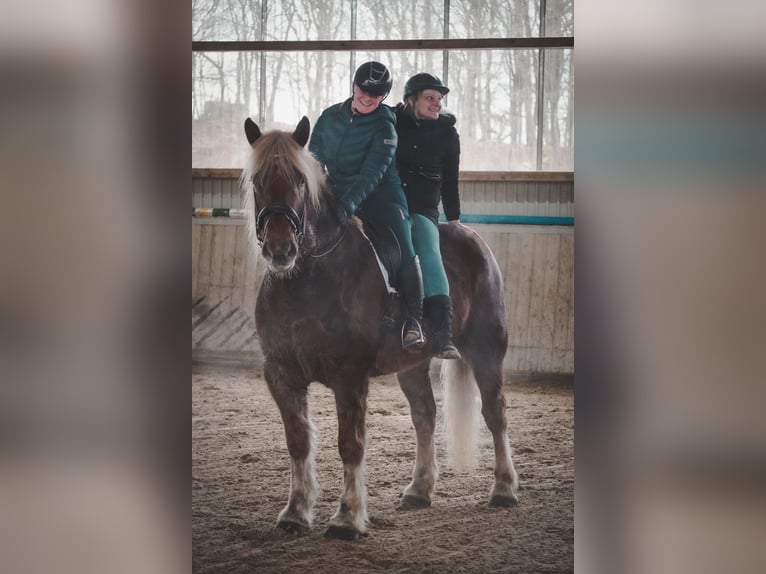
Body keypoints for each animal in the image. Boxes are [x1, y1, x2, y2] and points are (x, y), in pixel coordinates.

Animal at [242, 116, 520, 540]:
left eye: (300, 180)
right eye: (257, 180)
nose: (280, 249)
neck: (307, 279)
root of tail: (471, 236)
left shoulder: (349, 375)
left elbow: (350, 444)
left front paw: (347, 518)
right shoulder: (281, 373)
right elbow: (298, 441)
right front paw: (295, 513)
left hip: (487, 349)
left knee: (495, 413)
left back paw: (504, 489)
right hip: (412, 365)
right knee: (425, 415)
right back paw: (419, 489)